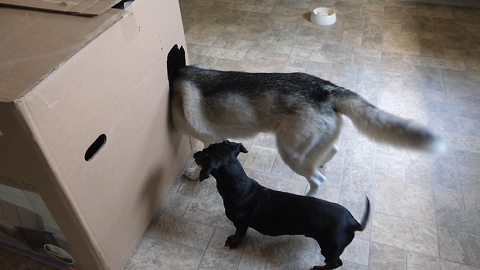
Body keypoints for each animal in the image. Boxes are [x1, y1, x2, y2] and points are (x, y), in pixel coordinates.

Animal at [168, 44, 446, 196]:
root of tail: (326, 88)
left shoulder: (210, 139)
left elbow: (204, 158)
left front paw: (193, 173)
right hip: (306, 147)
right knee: (333, 149)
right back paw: (321, 161)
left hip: (291, 153)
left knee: (318, 181)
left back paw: (311, 195)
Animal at [193, 141, 370, 270]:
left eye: (205, 154)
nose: (194, 153)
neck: (238, 184)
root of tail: (353, 222)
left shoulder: (241, 223)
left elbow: (239, 233)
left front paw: (233, 241)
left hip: (330, 246)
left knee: (335, 263)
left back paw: (318, 268)